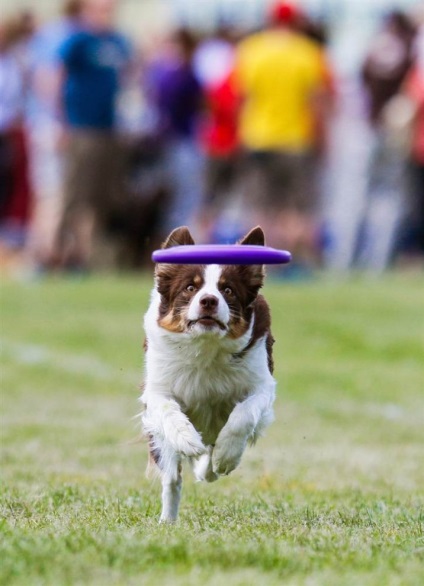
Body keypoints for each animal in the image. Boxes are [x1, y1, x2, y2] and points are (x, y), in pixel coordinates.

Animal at [141, 225, 276, 520]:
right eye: (190, 288)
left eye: (228, 290)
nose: (209, 301)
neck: (206, 346)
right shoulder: (156, 388)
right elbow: (168, 411)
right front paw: (188, 439)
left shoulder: (262, 385)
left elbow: (243, 414)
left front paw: (226, 455)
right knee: (172, 479)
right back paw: (167, 520)